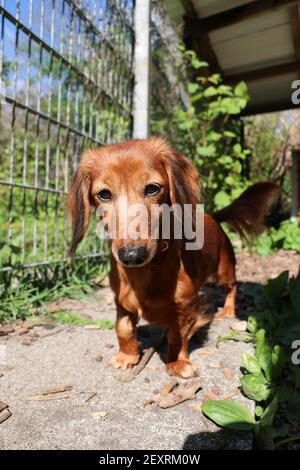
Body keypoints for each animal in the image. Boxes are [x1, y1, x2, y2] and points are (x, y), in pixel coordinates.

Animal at [68, 136, 278, 378]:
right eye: (104, 194)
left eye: (152, 189)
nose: (131, 255)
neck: (144, 273)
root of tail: (213, 217)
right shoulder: (121, 302)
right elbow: (123, 329)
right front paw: (127, 356)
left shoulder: (186, 307)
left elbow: (176, 336)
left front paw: (177, 362)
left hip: (223, 270)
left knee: (232, 286)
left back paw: (227, 309)